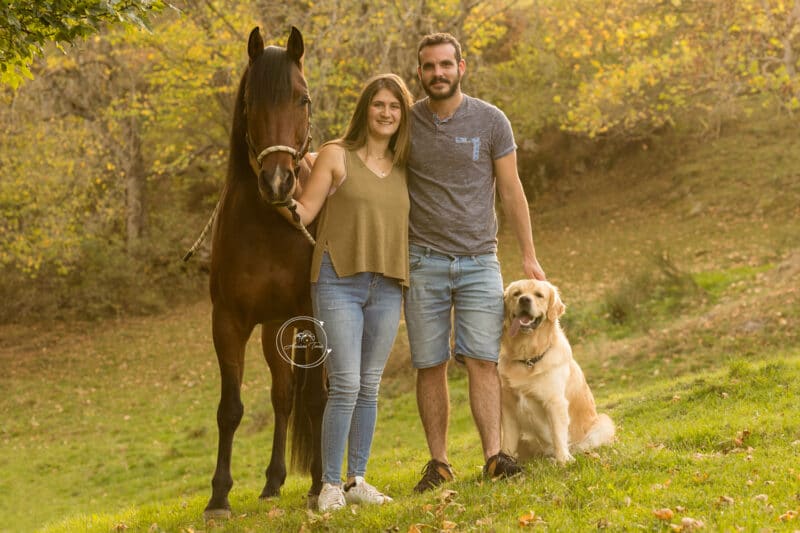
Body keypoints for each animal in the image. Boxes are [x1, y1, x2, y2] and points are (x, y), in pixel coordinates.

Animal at [500, 278, 612, 462]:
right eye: (516, 294)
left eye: (539, 295)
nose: (524, 300)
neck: (528, 358)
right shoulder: (509, 407)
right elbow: (507, 443)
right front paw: (502, 464)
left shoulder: (555, 402)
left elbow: (558, 435)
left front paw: (563, 461)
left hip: (604, 422)